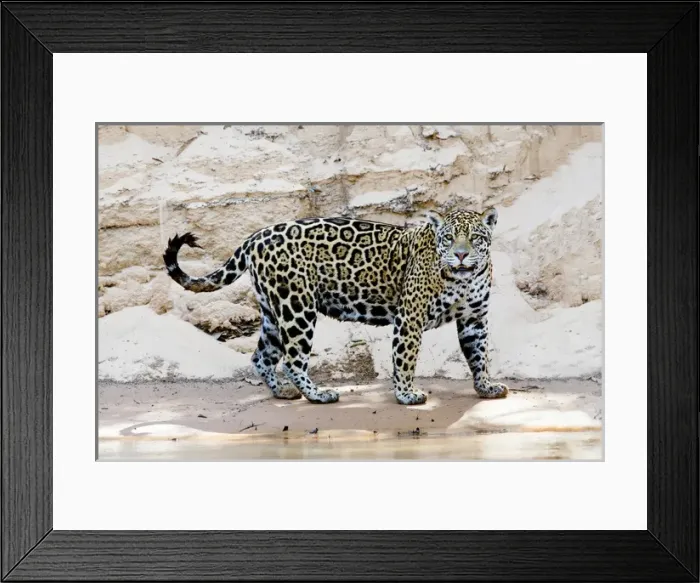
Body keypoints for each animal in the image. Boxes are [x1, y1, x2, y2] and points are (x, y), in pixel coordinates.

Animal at [163, 207, 509, 405]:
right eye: (448, 238)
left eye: (475, 238)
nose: (461, 255)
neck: (462, 278)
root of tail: (256, 236)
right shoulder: (410, 317)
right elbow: (406, 359)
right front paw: (406, 394)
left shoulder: (475, 318)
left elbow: (479, 354)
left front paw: (486, 386)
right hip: (297, 308)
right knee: (292, 359)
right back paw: (318, 395)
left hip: (273, 312)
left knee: (261, 356)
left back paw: (283, 393)